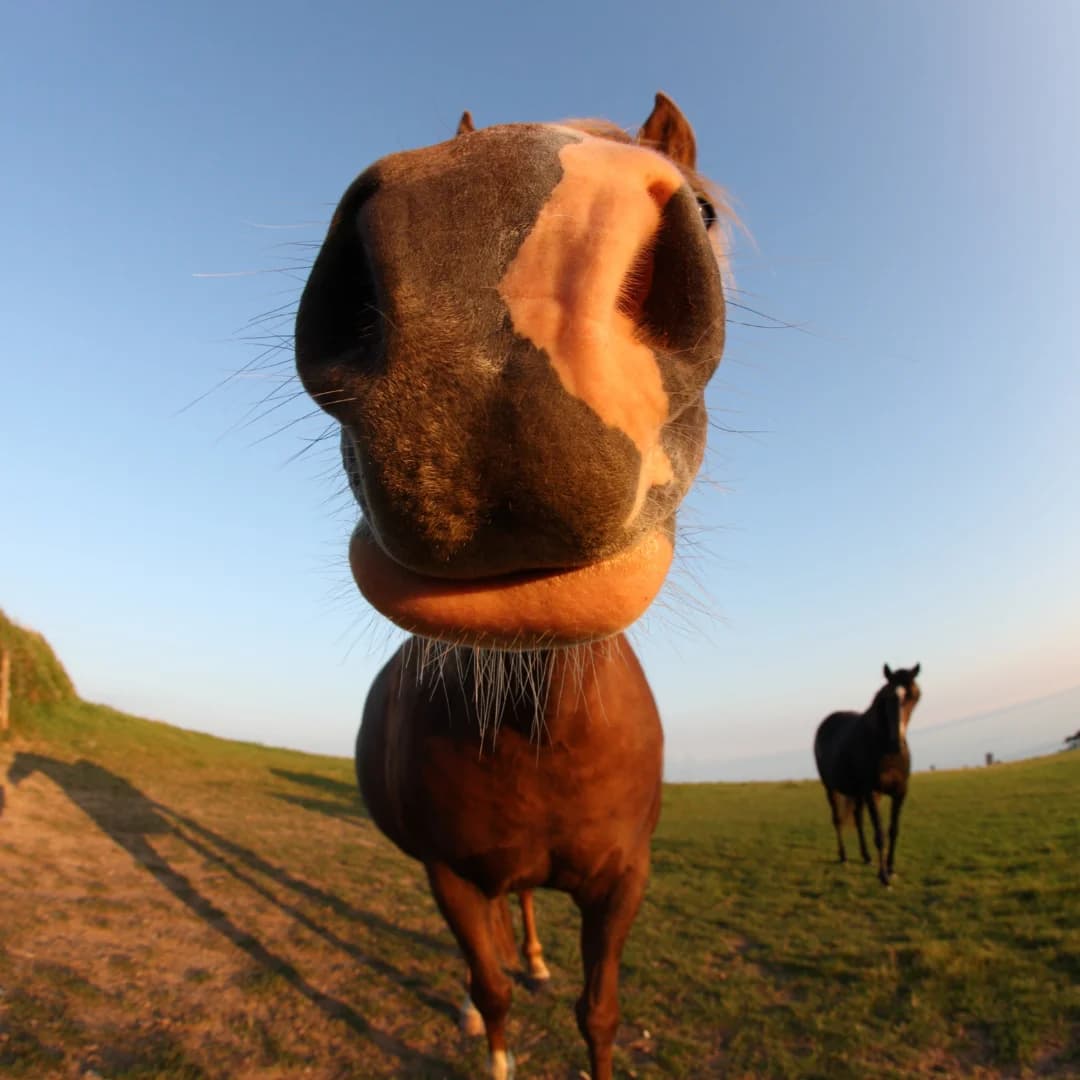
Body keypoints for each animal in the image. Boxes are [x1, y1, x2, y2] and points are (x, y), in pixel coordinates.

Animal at [295, 95, 734, 1080]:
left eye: (707, 210)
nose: (490, 301)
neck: (536, 728)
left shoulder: (623, 879)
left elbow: (598, 1012)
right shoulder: (449, 875)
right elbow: (488, 986)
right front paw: (483, 1019)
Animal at [812, 665, 924, 885]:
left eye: (914, 696)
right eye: (888, 697)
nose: (896, 744)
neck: (886, 751)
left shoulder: (900, 792)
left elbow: (893, 830)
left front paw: (891, 868)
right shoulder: (871, 792)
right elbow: (879, 834)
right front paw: (883, 876)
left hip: (857, 792)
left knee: (858, 818)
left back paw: (866, 856)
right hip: (831, 789)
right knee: (838, 819)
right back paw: (844, 856)